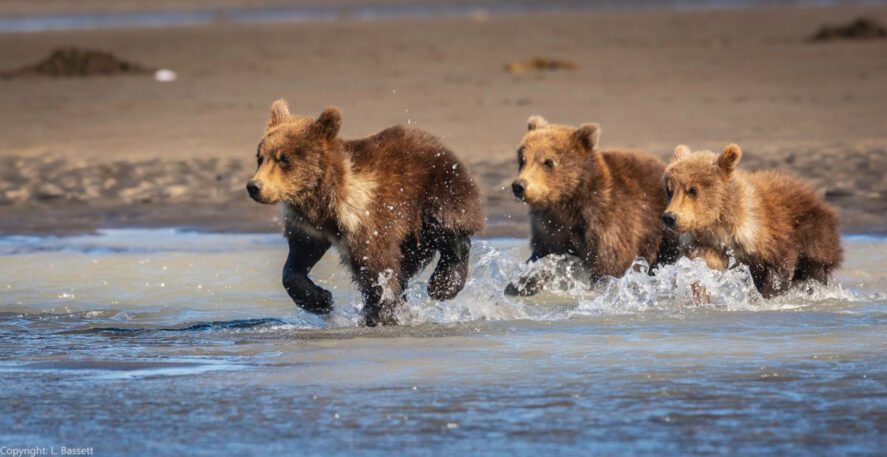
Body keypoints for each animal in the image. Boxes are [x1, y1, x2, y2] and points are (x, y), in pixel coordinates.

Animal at [247, 100, 483, 326]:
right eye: (260, 157)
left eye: (284, 158)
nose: (254, 186)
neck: (321, 199)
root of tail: (438, 143)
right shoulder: (307, 226)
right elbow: (297, 261)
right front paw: (321, 300)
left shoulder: (367, 217)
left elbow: (376, 266)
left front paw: (382, 314)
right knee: (409, 262)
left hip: (435, 190)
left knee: (448, 230)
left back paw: (443, 284)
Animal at [505, 115, 679, 296]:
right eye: (522, 159)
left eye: (548, 162)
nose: (519, 185)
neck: (568, 203)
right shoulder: (549, 227)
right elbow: (541, 255)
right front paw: (519, 284)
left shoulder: (608, 220)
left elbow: (612, 264)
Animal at [662, 143, 843, 298]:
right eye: (670, 190)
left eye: (693, 190)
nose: (670, 217)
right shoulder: (709, 245)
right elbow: (705, 265)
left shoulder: (772, 238)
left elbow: (778, 274)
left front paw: (768, 294)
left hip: (813, 235)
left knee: (815, 270)